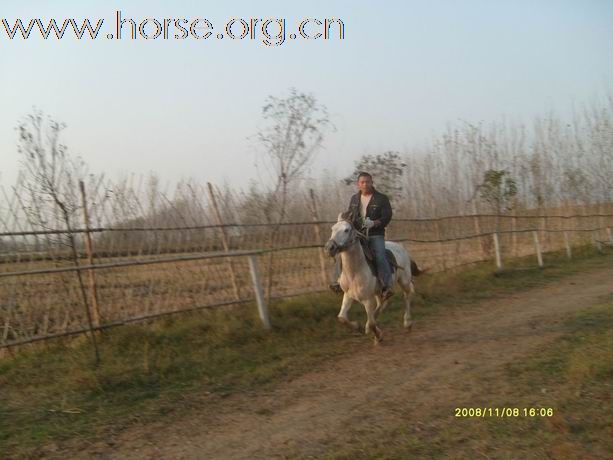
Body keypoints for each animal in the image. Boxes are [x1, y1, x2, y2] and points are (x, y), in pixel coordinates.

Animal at [322, 214, 418, 344]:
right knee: (383, 302)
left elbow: (372, 323)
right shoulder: (348, 295)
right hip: (379, 291)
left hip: (404, 280)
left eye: (346, 230)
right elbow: (341, 318)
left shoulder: (368, 300)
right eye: (332, 229)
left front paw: (378, 336)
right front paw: (358, 327)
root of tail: (400, 246)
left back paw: (407, 323)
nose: (329, 248)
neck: (355, 272)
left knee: (407, 295)